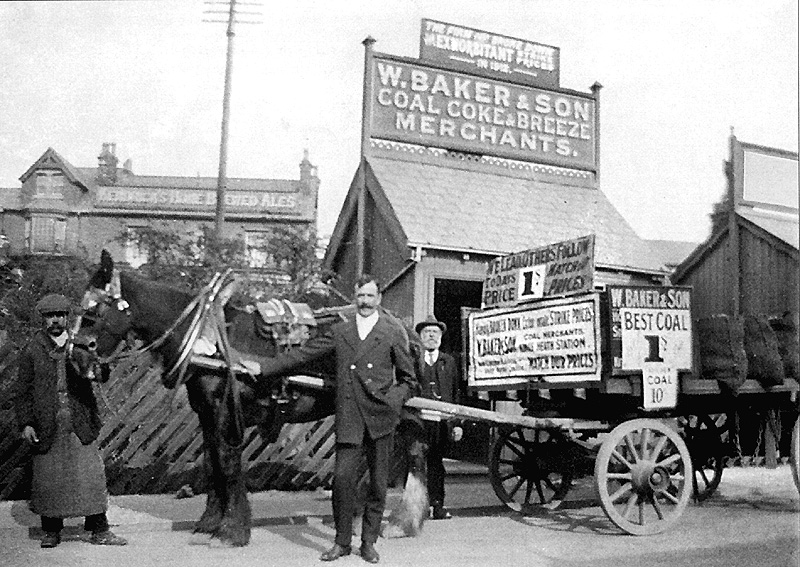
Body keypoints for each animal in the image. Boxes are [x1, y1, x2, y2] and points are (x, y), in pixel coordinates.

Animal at [79, 251, 432, 548]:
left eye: (94, 310)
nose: (77, 356)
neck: (208, 339)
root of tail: (406, 331)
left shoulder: (226, 412)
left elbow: (228, 465)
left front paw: (230, 530)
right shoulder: (206, 415)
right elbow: (212, 465)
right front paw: (209, 523)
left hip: (394, 408)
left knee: (405, 449)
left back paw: (392, 519)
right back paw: (377, 517)